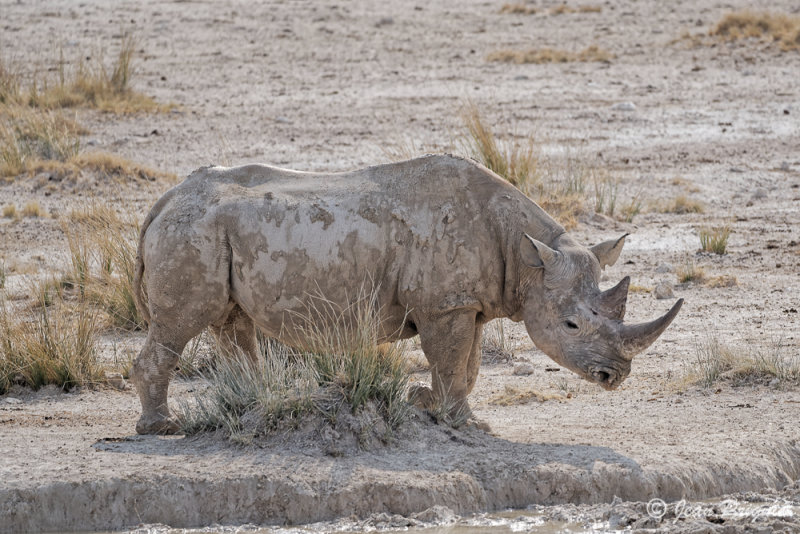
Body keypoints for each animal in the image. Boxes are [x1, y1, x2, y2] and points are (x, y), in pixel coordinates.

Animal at [130, 154, 680, 436]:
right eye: (571, 325)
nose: (615, 376)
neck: (529, 260)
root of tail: (163, 201)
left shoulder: (466, 305)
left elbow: (464, 364)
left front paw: (427, 405)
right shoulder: (444, 304)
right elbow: (451, 361)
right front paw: (466, 424)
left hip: (208, 232)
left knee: (231, 322)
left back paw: (251, 405)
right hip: (190, 231)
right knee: (180, 325)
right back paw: (162, 428)